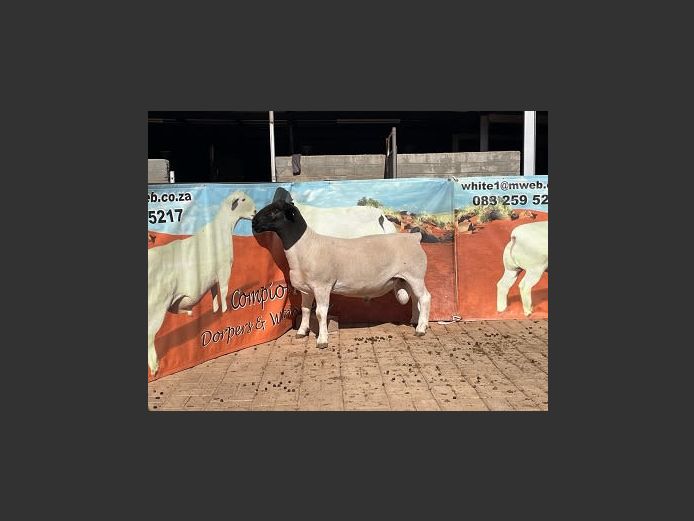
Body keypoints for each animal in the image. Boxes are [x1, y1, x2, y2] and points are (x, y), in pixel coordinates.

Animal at [148, 191, 256, 375]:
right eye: (242, 200)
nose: (256, 211)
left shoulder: (212, 277)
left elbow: (214, 293)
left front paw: (216, 310)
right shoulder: (224, 270)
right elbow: (224, 290)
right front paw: (225, 311)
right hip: (156, 305)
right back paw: (155, 368)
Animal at [251, 199, 431, 349]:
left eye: (275, 210)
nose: (254, 223)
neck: (306, 246)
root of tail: (414, 237)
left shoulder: (322, 286)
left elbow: (320, 313)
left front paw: (322, 340)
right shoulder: (306, 289)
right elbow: (305, 310)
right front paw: (302, 332)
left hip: (416, 275)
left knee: (425, 298)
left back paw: (421, 329)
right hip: (406, 278)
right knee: (416, 299)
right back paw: (415, 321)